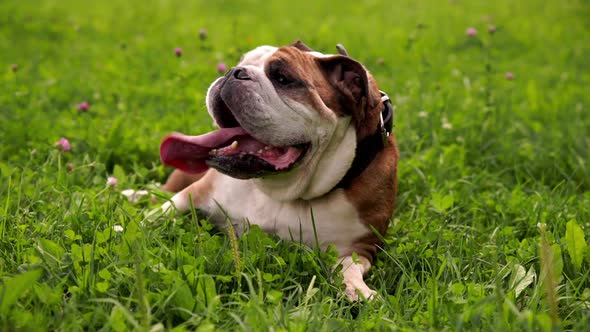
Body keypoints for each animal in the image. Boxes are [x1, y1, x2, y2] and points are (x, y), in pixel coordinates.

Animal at [158, 39, 398, 300]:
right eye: (242, 62)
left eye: (283, 78)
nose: (233, 72)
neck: (281, 189)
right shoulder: (195, 194)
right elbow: (162, 211)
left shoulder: (361, 246)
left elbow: (349, 266)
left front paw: (357, 289)